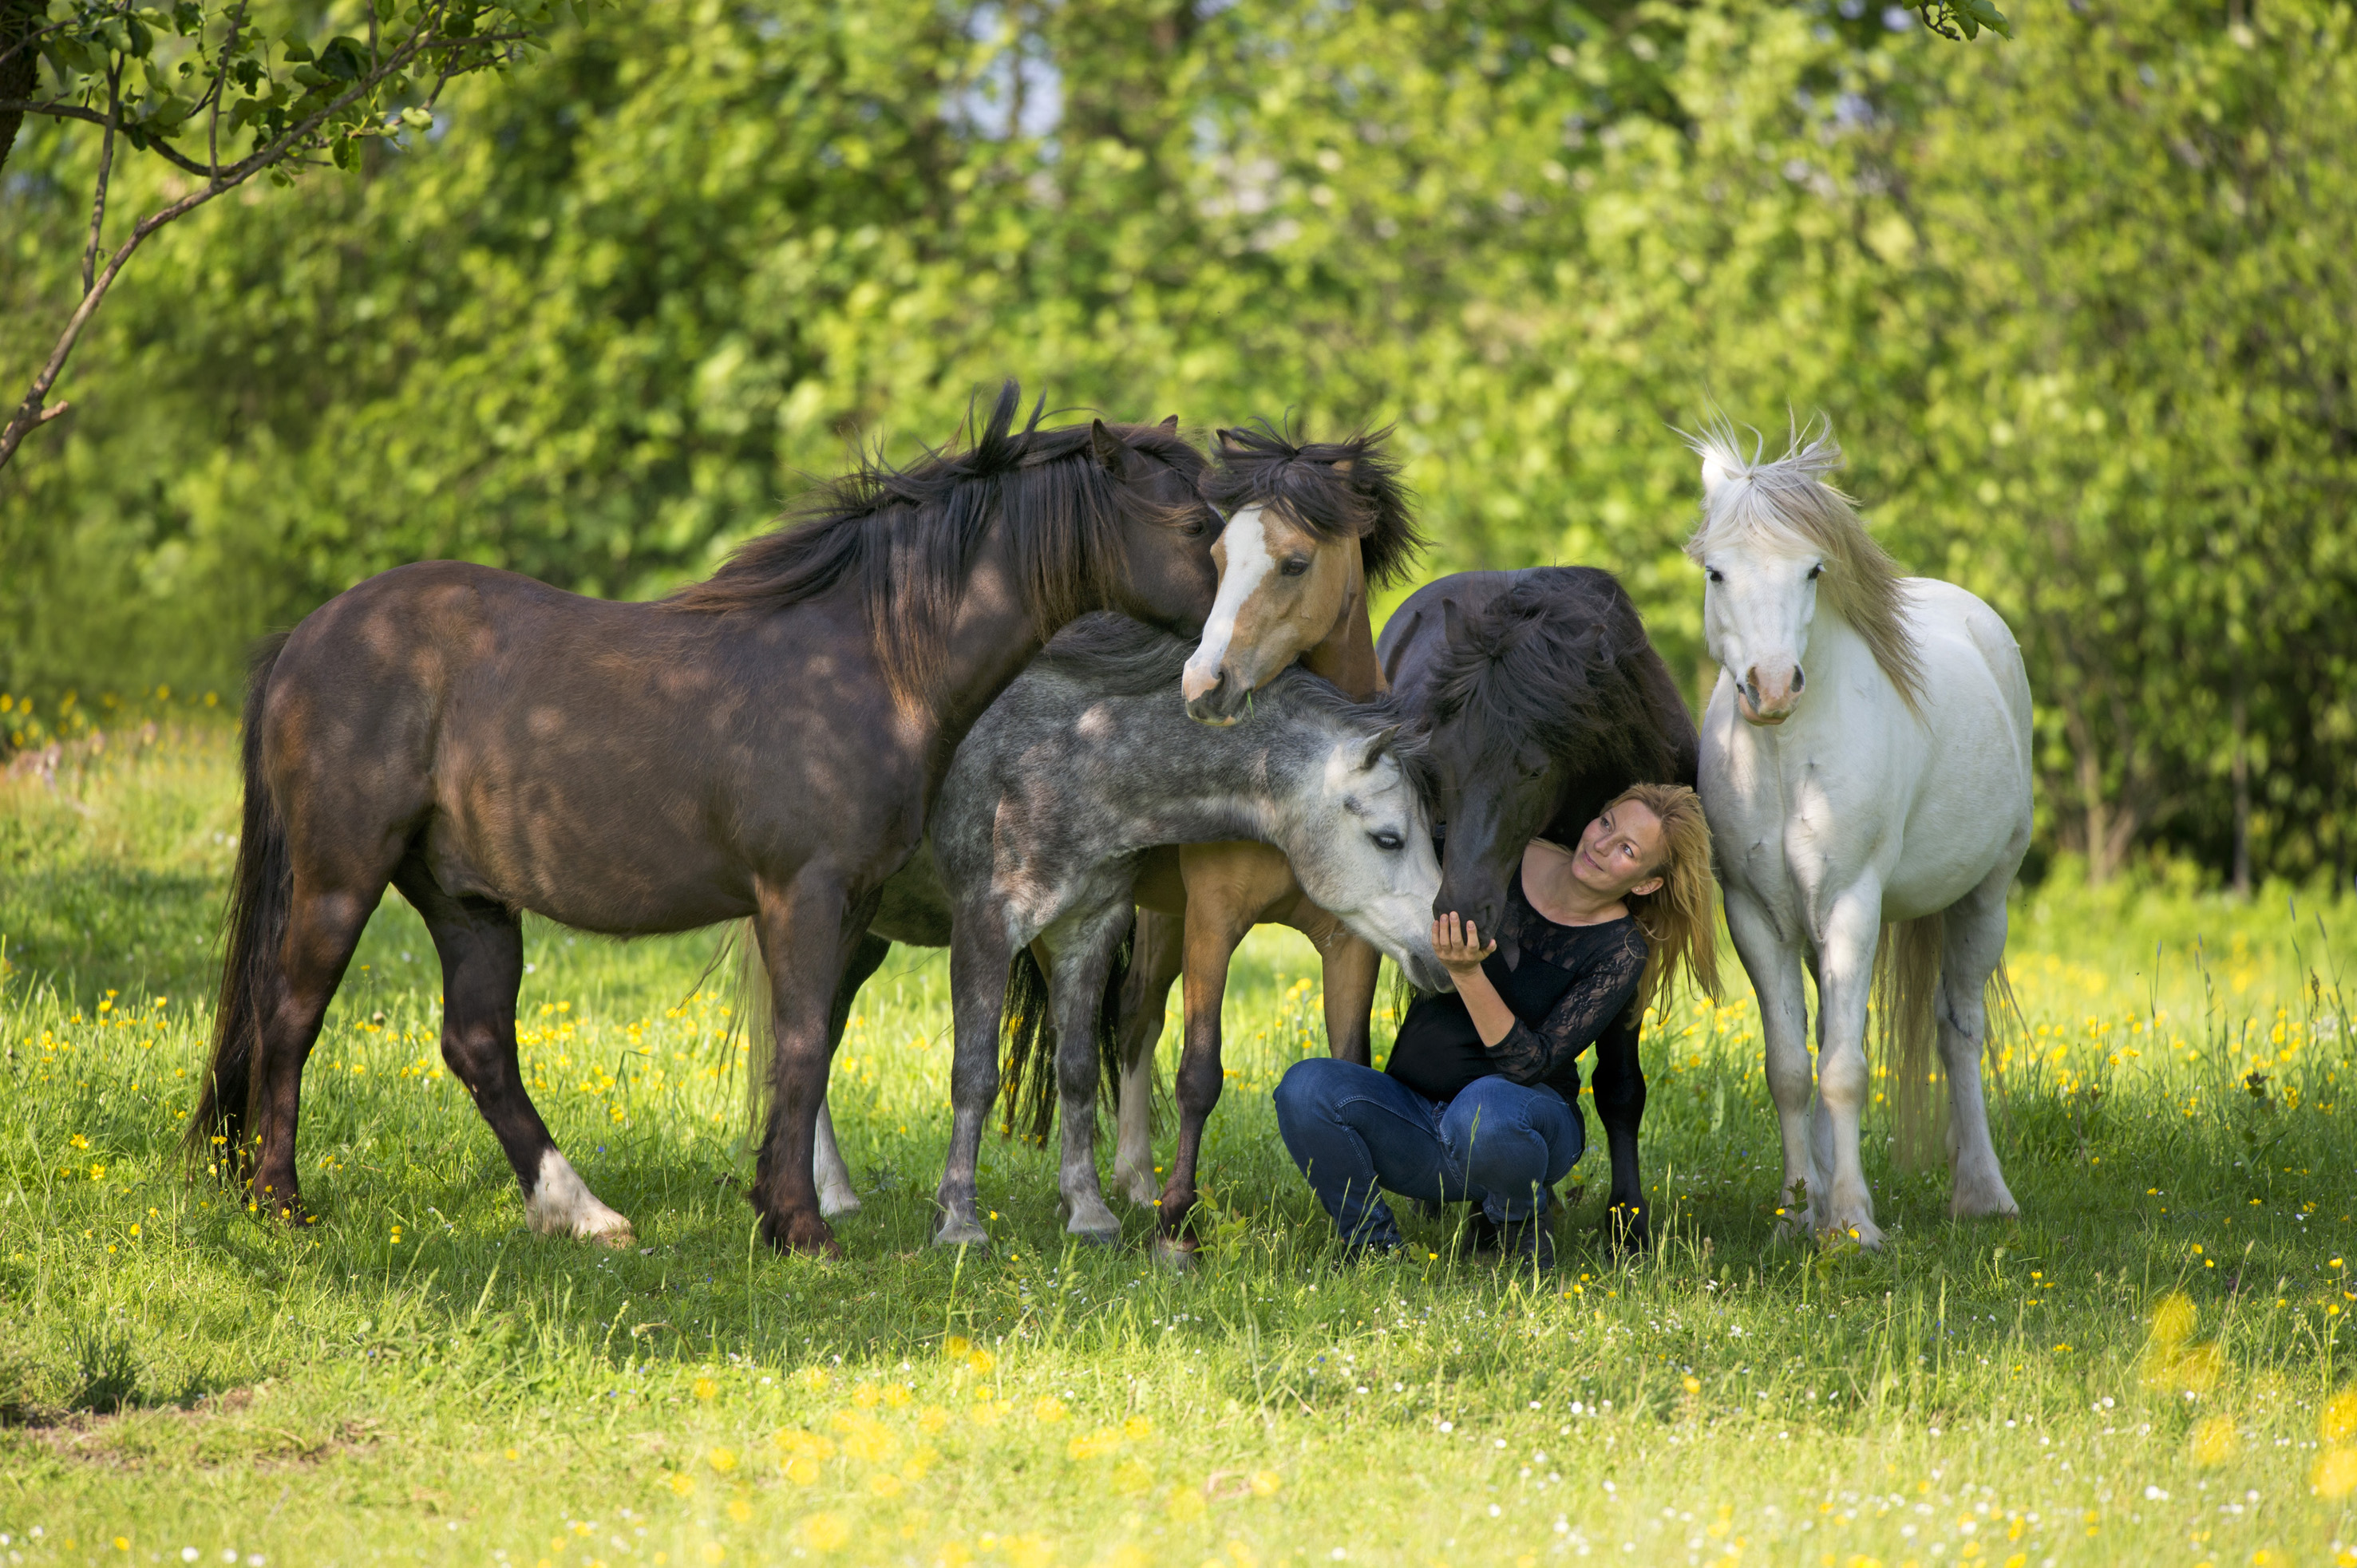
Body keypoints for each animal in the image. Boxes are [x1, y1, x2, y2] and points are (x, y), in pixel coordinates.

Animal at [193, 384, 1225, 1254]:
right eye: (1193, 525)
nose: (1230, 661)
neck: (869, 656)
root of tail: (308, 637)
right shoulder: (802, 895)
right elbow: (802, 1049)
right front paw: (801, 1227)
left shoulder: (852, 907)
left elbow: (808, 1053)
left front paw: (779, 1206)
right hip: (341, 878)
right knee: (290, 1017)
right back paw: (280, 1202)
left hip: (467, 899)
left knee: (478, 1045)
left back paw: (580, 1212)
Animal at [1376, 568, 1706, 1245]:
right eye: (1437, 762)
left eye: (1531, 769)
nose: (1457, 909)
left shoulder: (1635, 945)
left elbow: (1618, 1086)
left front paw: (1627, 1222)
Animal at [1687, 419, 2036, 1245]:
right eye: (1717, 573)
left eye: (1813, 570)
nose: (1771, 687)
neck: (1786, 763)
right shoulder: (1756, 916)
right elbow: (1790, 1066)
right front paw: (1797, 1213)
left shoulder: (1851, 905)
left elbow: (1845, 1069)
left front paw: (1851, 1224)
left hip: (1984, 898)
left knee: (1957, 1029)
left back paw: (1983, 1193)